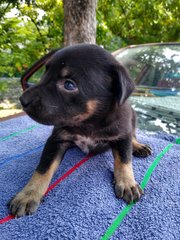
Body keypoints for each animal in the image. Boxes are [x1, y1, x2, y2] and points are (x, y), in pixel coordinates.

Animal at [8, 43, 152, 218]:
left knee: (133, 136)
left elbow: (124, 161)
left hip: (132, 118)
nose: (22, 100)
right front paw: (28, 194)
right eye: (45, 73)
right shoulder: (57, 140)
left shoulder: (122, 135)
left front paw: (127, 183)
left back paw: (139, 146)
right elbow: (43, 169)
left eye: (69, 85)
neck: (88, 122)